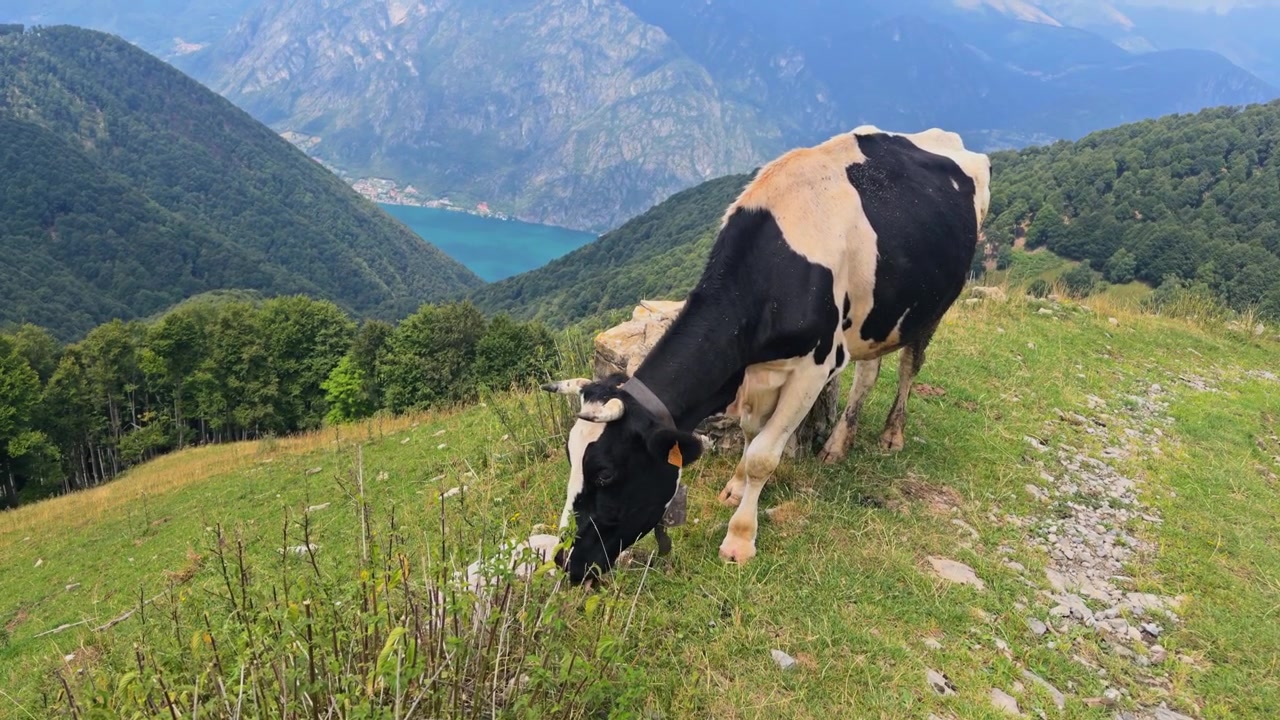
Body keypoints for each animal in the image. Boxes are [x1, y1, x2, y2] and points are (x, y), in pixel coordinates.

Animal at [541, 126, 991, 584]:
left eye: (605, 473)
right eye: (570, 458)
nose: (565, 560)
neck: (778, 265)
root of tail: (943, 135)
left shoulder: (815, 367)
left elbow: (763, 455)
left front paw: (739, 539)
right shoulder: (753, 369)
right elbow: (751, 432)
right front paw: (736, 488)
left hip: (932, 306)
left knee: (908, 367)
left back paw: (892, 434)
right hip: (877, 316)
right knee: (868, 374)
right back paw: (838, 445)